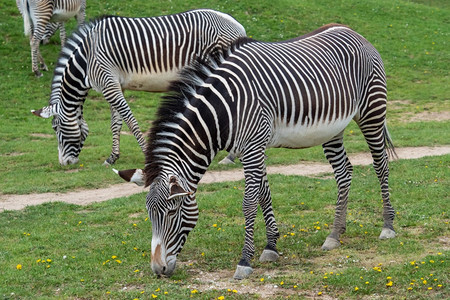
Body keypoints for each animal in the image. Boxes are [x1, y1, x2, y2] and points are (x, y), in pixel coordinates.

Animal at [32, 9, 248, 165]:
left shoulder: (108, 83)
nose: (64, 163)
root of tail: (237, 25)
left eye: (56, 128)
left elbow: (130, 120)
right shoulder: (115, 85)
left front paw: (145, 152)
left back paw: (230, 157)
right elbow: (116, 123)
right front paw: (112, 157)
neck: (86, 59)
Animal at [115, 23, 398, 278]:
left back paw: (387, 226)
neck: (223, 111)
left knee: (381, 165)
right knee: (344, 172)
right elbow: (263, 194)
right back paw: (335, 234)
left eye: (172, 212)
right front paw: (271, 246)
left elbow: (249, 202)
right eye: (149, 214)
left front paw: (244, 261)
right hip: (332, 129)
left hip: (372, 112)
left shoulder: (253, 147)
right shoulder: (251, 149)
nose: (158, 270)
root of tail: (354, 32)